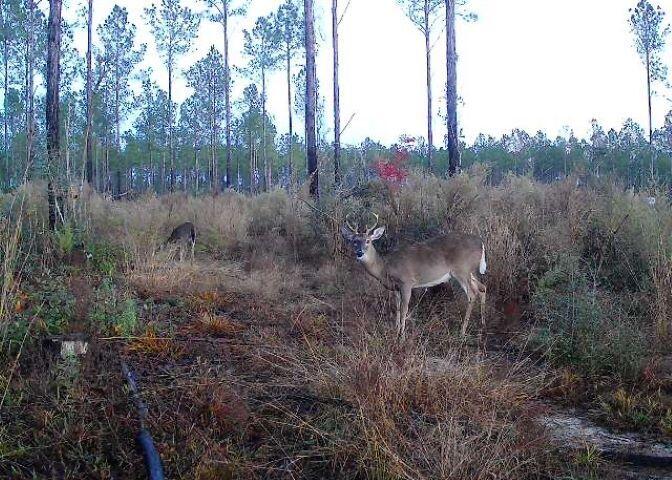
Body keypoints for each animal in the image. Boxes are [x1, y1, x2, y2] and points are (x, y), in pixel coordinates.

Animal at [344, 214, 486, 338]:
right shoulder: (396, 288)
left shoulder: (406, 282)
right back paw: (482, 324)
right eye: (354, 241)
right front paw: (396, 330)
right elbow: (397, 308)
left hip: (461, 269)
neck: (385, 266)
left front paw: (401, 336)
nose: (359, 253)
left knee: (472, 294)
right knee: (482, 288)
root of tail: (481, 243)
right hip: (469, 271)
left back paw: (462, 331)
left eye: (368, 241)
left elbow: (404, 309)